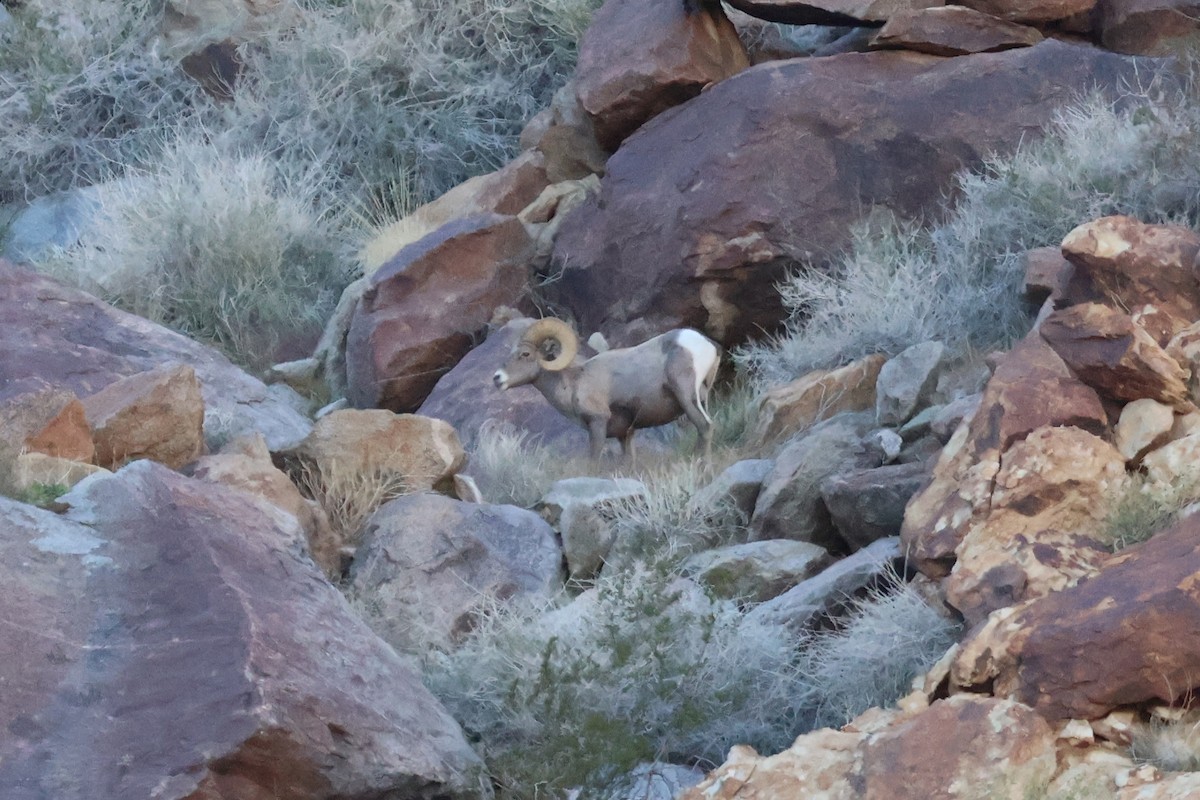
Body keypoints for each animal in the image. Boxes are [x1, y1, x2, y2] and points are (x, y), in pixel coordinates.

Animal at [492, 318, 721, 463]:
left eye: (525, 354)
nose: (497, 378)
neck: (574, 383)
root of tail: (707, 345)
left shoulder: (597, 424)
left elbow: (593, 463)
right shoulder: (625, 435)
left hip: (687, 396)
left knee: (705, 427)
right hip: (702, 397)